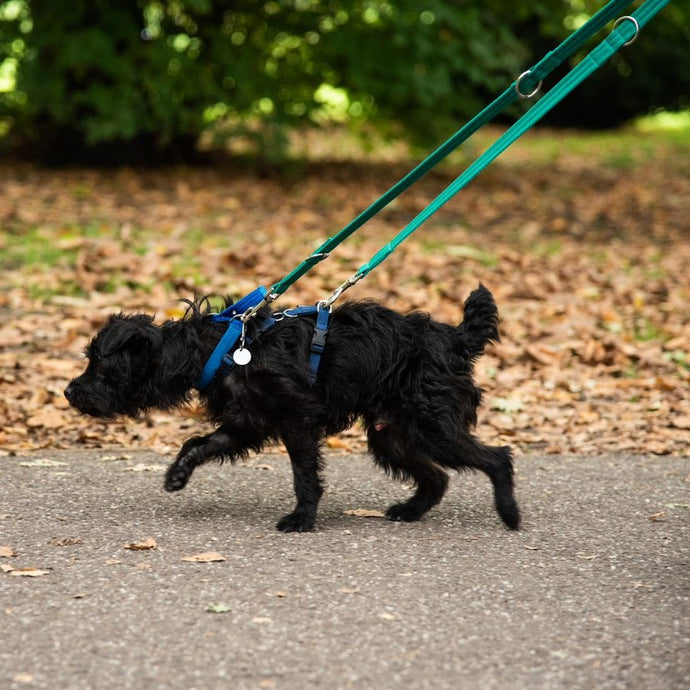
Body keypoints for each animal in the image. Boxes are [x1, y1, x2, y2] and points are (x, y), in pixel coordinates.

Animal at [66, 282, 516, 528]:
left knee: (498, 458)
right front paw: (178, 474)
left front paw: (302, 519)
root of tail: (454, 339)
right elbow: (198, 444)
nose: (69, 392)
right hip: (393, 435)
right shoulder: (245, 423)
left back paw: (510, 514)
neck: (220, 349)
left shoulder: (297, 420)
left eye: (99, 364)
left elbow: (304, 476)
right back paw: (409, 511)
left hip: (434, 426)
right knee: (436, 478)